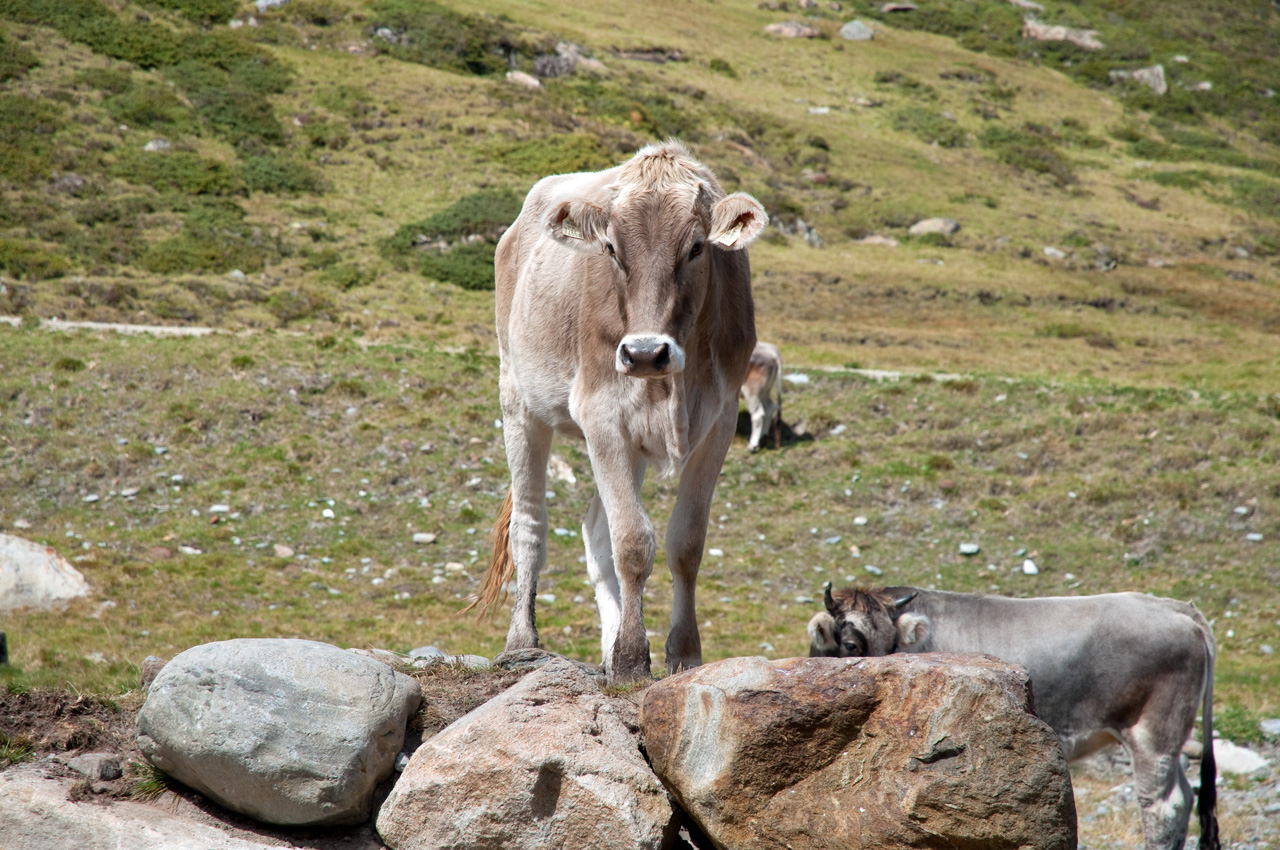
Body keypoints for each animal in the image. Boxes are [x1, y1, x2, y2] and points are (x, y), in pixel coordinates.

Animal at [467, 141, 767, 683]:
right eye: (610, 249)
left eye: (696, 247)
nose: (646, 353)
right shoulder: (601, 414)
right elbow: (631, 542)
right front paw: (631, 656)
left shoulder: (719, 421)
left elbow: (684, 543)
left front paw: (680, 651)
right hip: (517, 399)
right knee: (530, 524)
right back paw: (522, 640)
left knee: (594, 532)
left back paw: (605, 647)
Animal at [808, 583, 1220, 850]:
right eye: (851, 645)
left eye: (893, 644)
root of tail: (1179, 608)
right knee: (1186, 796)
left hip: (1152, 731)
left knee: (1165, 806)